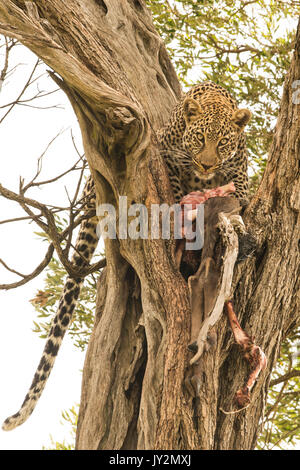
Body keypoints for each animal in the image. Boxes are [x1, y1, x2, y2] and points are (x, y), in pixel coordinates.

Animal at [2, 80, 252, 430]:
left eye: (223, 142)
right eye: (200, 138)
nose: (206, 164)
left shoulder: (237, 173)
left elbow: (240, 197)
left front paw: (239, 226)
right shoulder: (165, 157)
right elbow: (173, 190)